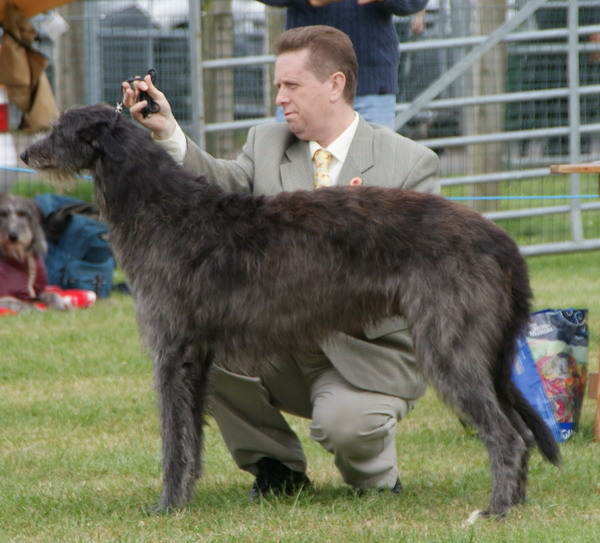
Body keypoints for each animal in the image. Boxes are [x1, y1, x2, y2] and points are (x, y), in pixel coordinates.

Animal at [21, 105, 560, 520]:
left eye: (62, 128)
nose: (25, 153)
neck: (162, 208)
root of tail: (498, 238)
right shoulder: (198, 356)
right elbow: (190, 438)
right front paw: (185, 499)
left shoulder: (170, 351)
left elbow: (173, 440)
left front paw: (166, 506)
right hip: (486, 352)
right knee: (519, 431)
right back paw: (517, 504)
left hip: (450, 345)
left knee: (506, 435)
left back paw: (495, 510)